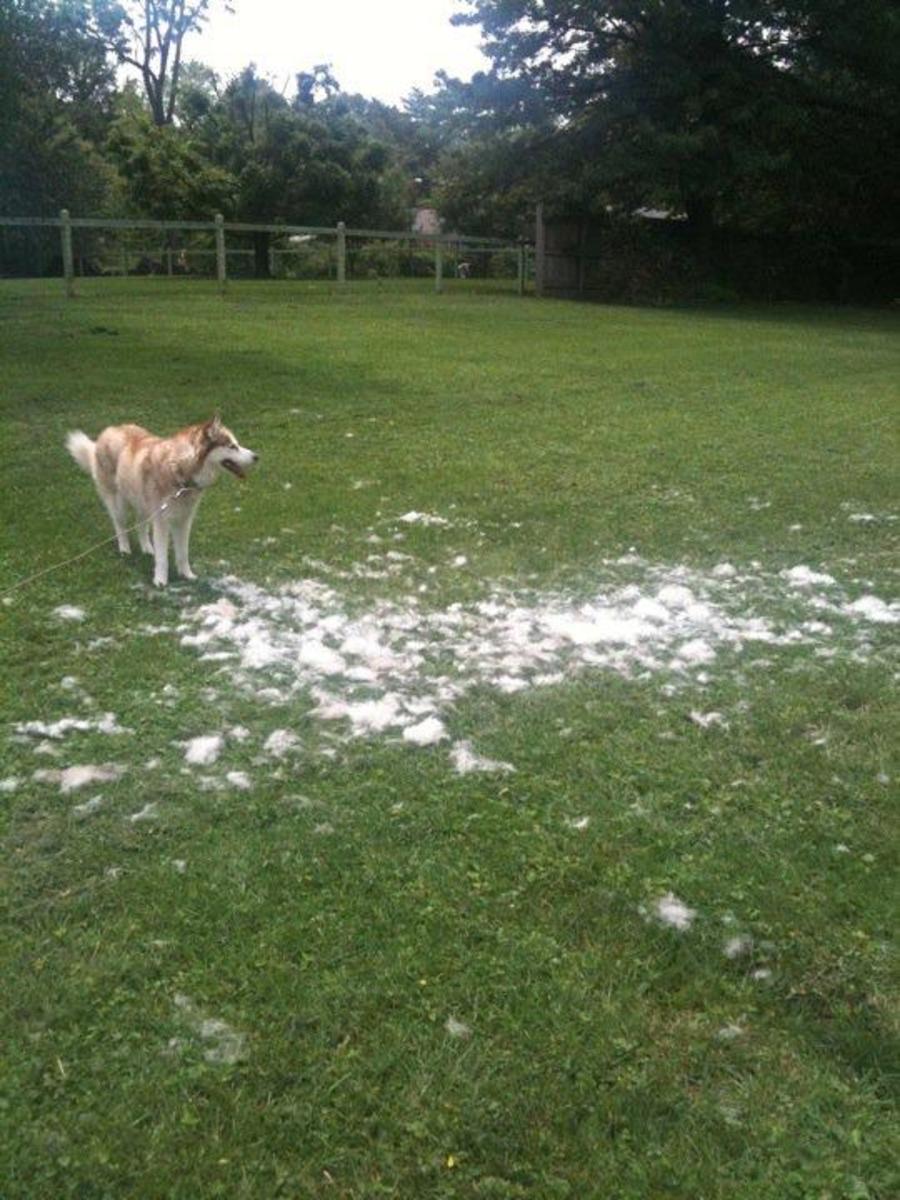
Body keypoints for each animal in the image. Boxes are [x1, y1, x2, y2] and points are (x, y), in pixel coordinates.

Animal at [65, 415, 256, 588]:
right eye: (232, 446)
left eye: (236, 444)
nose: (257, 456)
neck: (180, 472)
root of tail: (106, 433)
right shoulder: (162, 521)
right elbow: (163, 557)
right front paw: (160, 581)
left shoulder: (183, 521)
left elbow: (183, 553)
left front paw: (187, 575)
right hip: (119, 504)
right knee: (120, 526)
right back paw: (125, 549)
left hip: (143, 504)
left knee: (140, 525)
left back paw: (148, 548)